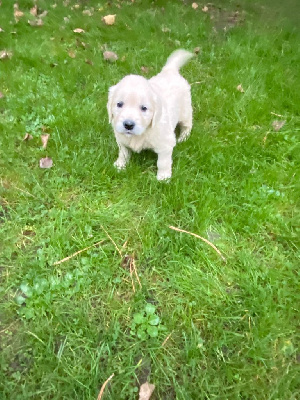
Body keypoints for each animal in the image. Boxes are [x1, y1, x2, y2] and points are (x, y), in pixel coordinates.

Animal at [106, 49, 193, 180]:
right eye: (119, 104)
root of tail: (170, 70)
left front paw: (163, 177)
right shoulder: (121, 138)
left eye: (144, 108)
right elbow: (123, 152)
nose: (128, 125)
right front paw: (120, 165)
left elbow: (163, 162)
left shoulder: (166, 143)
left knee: (187, 125)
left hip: (185, 111)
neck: (142, 133)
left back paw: (183, 138)